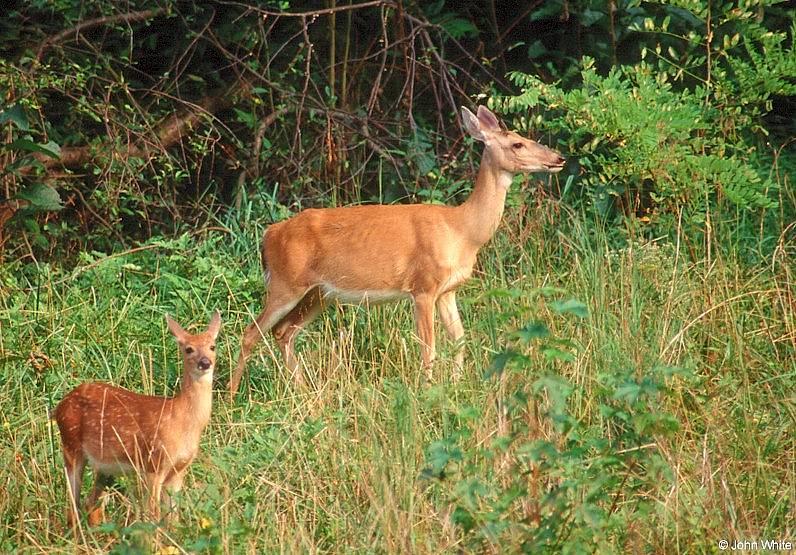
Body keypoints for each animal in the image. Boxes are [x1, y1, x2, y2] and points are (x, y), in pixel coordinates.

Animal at [54, 310, 219, 528]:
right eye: (189, 349)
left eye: (212, 346)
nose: (205, 362)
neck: (182, 420)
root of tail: (58, 407)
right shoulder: (153, 463)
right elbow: (152, 516)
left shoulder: (179, 470)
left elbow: (173, 519)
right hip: (71, 446)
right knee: (73, 506)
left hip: (104, 466)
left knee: (89, 504)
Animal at [230, 105, 564, 396]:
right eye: (517, 143)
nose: (559, 158)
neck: (463, 231)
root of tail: (269, 234)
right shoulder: (423, 286)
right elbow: (429, 347)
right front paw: (428, 392)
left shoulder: (448, 290)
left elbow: (459, 340)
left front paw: (457, 386)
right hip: (285, 283)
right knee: (250, 334)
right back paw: (232, 397)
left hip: (318, 293)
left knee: (283, 332)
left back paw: (304, 392)